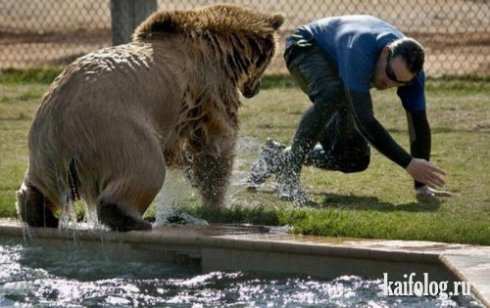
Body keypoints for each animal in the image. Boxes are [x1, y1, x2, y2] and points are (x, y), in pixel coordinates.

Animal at [16, 4, 284, 231]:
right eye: (269, 57)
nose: (254, 89)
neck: (224, 49)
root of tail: (64, 118)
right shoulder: (208, 87)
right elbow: (215, 143)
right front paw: (217, 203)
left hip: (46, 145)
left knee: (41, 183)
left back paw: (37, 213)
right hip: (117, 130)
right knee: (145, 170)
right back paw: (130, 218)